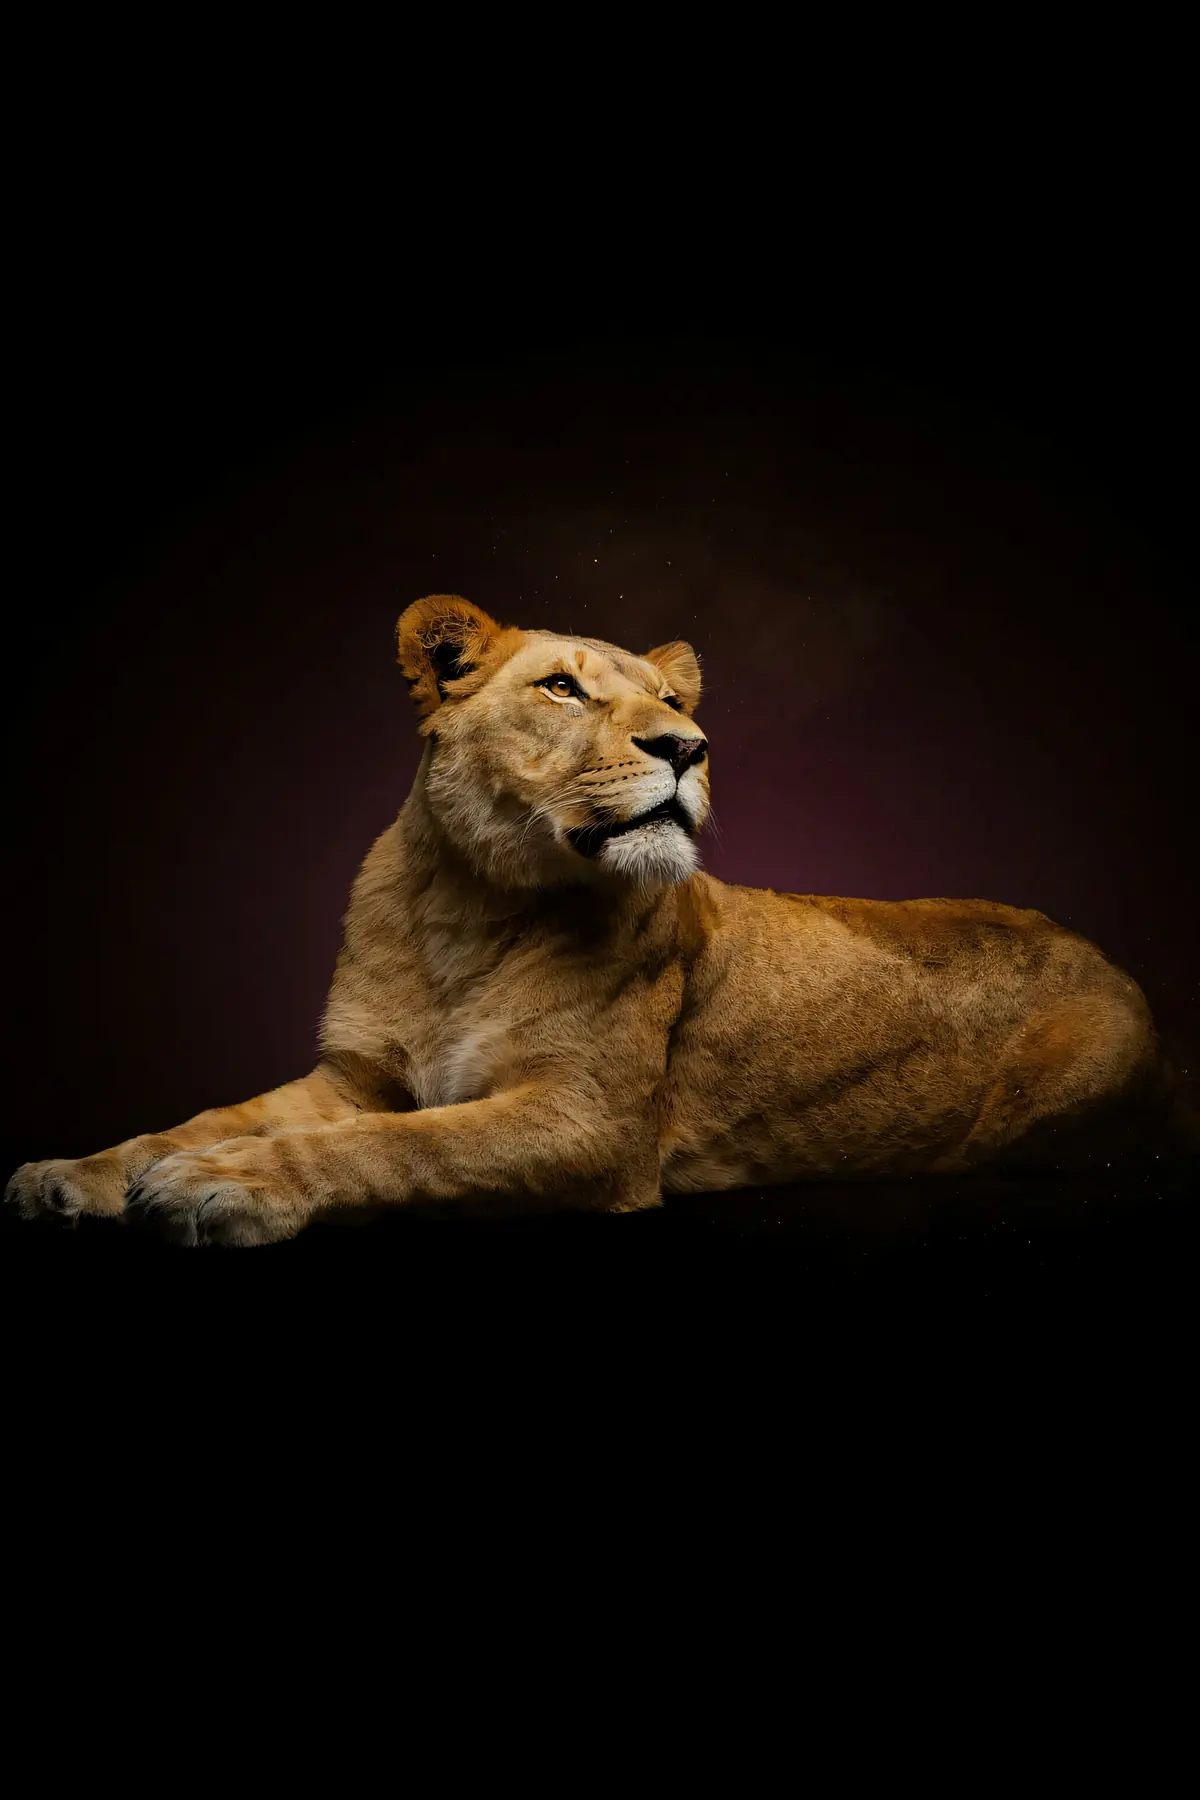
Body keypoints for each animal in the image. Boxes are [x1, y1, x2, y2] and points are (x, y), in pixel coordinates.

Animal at [6, 594, 1177, 1246]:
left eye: (677, 700)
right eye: (563, 689)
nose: (689, 748)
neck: (466, 913)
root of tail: (1107, 956)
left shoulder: (590, 1123)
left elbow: (398, 1147)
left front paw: (227, 1187)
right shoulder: (354, 1075)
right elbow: (216, 1116)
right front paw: (78, 1175)